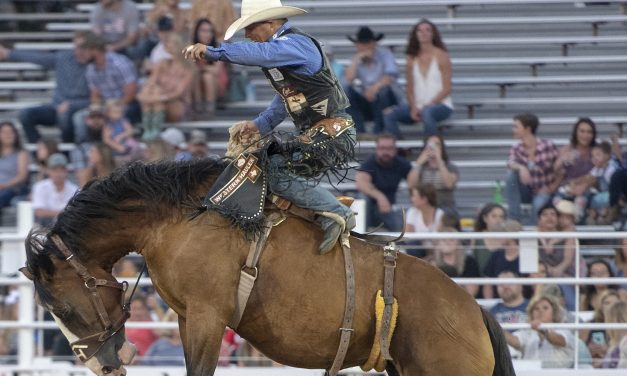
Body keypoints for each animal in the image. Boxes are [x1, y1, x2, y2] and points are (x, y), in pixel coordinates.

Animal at [20, 159, 516, 376]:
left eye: (64, 308)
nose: (102, 366)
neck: (178, 218)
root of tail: (474, 312)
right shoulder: (186, 317)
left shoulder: (209, 315)